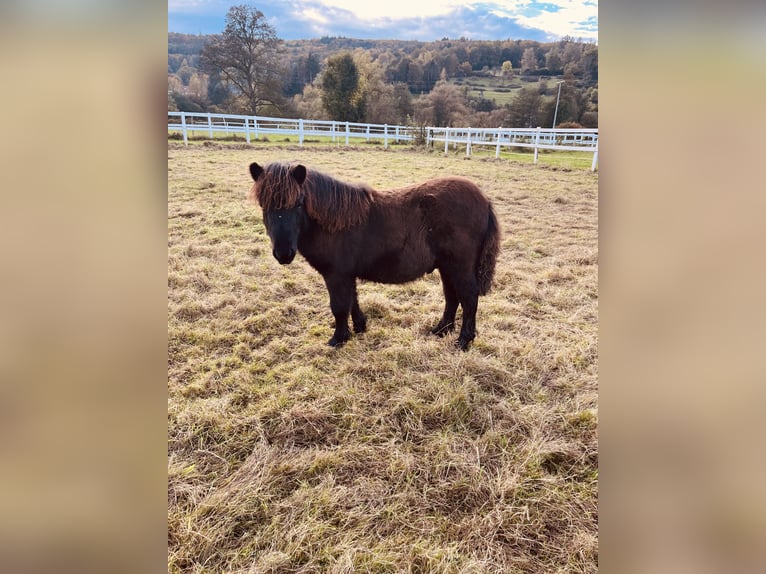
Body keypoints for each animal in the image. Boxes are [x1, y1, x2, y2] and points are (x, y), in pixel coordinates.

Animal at [250, 161, 504, 352]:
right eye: (263, 205)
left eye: (299, 203)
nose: (283, 253)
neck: (333, 222)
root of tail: (484, 200)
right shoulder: (346, 274)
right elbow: (352, 301)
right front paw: (359, 328)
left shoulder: (336, 275)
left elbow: (339, 306)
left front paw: (338, 339)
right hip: (446, 266)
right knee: (452, 297)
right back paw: (441, 330)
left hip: (459, 267)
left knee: (468, 298)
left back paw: (463, 341)